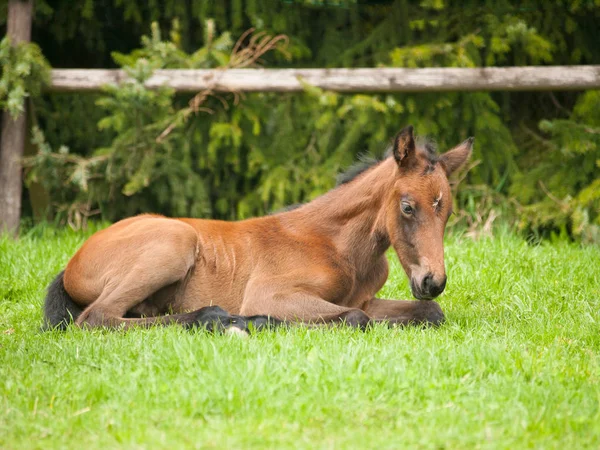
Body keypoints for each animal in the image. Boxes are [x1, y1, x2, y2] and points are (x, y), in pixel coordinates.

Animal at [43, 125, 474, 332]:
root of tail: (72, 263)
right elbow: (355, 318)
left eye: (447, 212)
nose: (433, 281)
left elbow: (429, 312)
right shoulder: (271, 294)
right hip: (174, 242)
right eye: (407, 207)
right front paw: (263, 321)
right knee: (98, 318)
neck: (336, 246)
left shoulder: (366, 298)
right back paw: (218, 319)